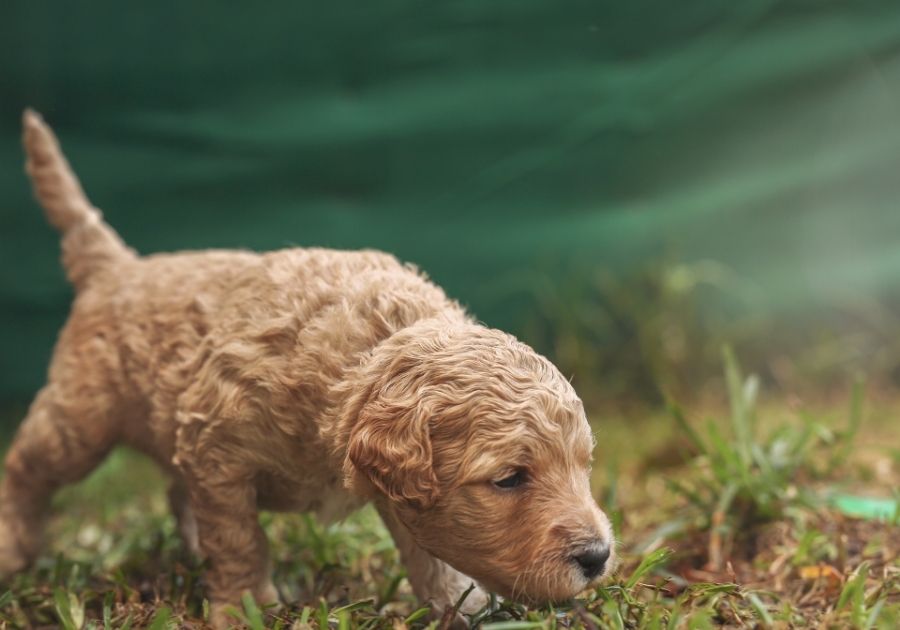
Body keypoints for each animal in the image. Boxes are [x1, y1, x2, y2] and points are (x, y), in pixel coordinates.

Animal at [0, 111, 612, 628]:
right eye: (509, 479)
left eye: (583, 465)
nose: (599, 555)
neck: (371, 350)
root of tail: (115, 268)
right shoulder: (217, 447)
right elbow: (240, 539)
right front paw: (243, 607)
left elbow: (426, 552)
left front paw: (460, 604)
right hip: (80, 416)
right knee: (29, 464)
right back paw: (13, 546)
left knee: (176, 491)